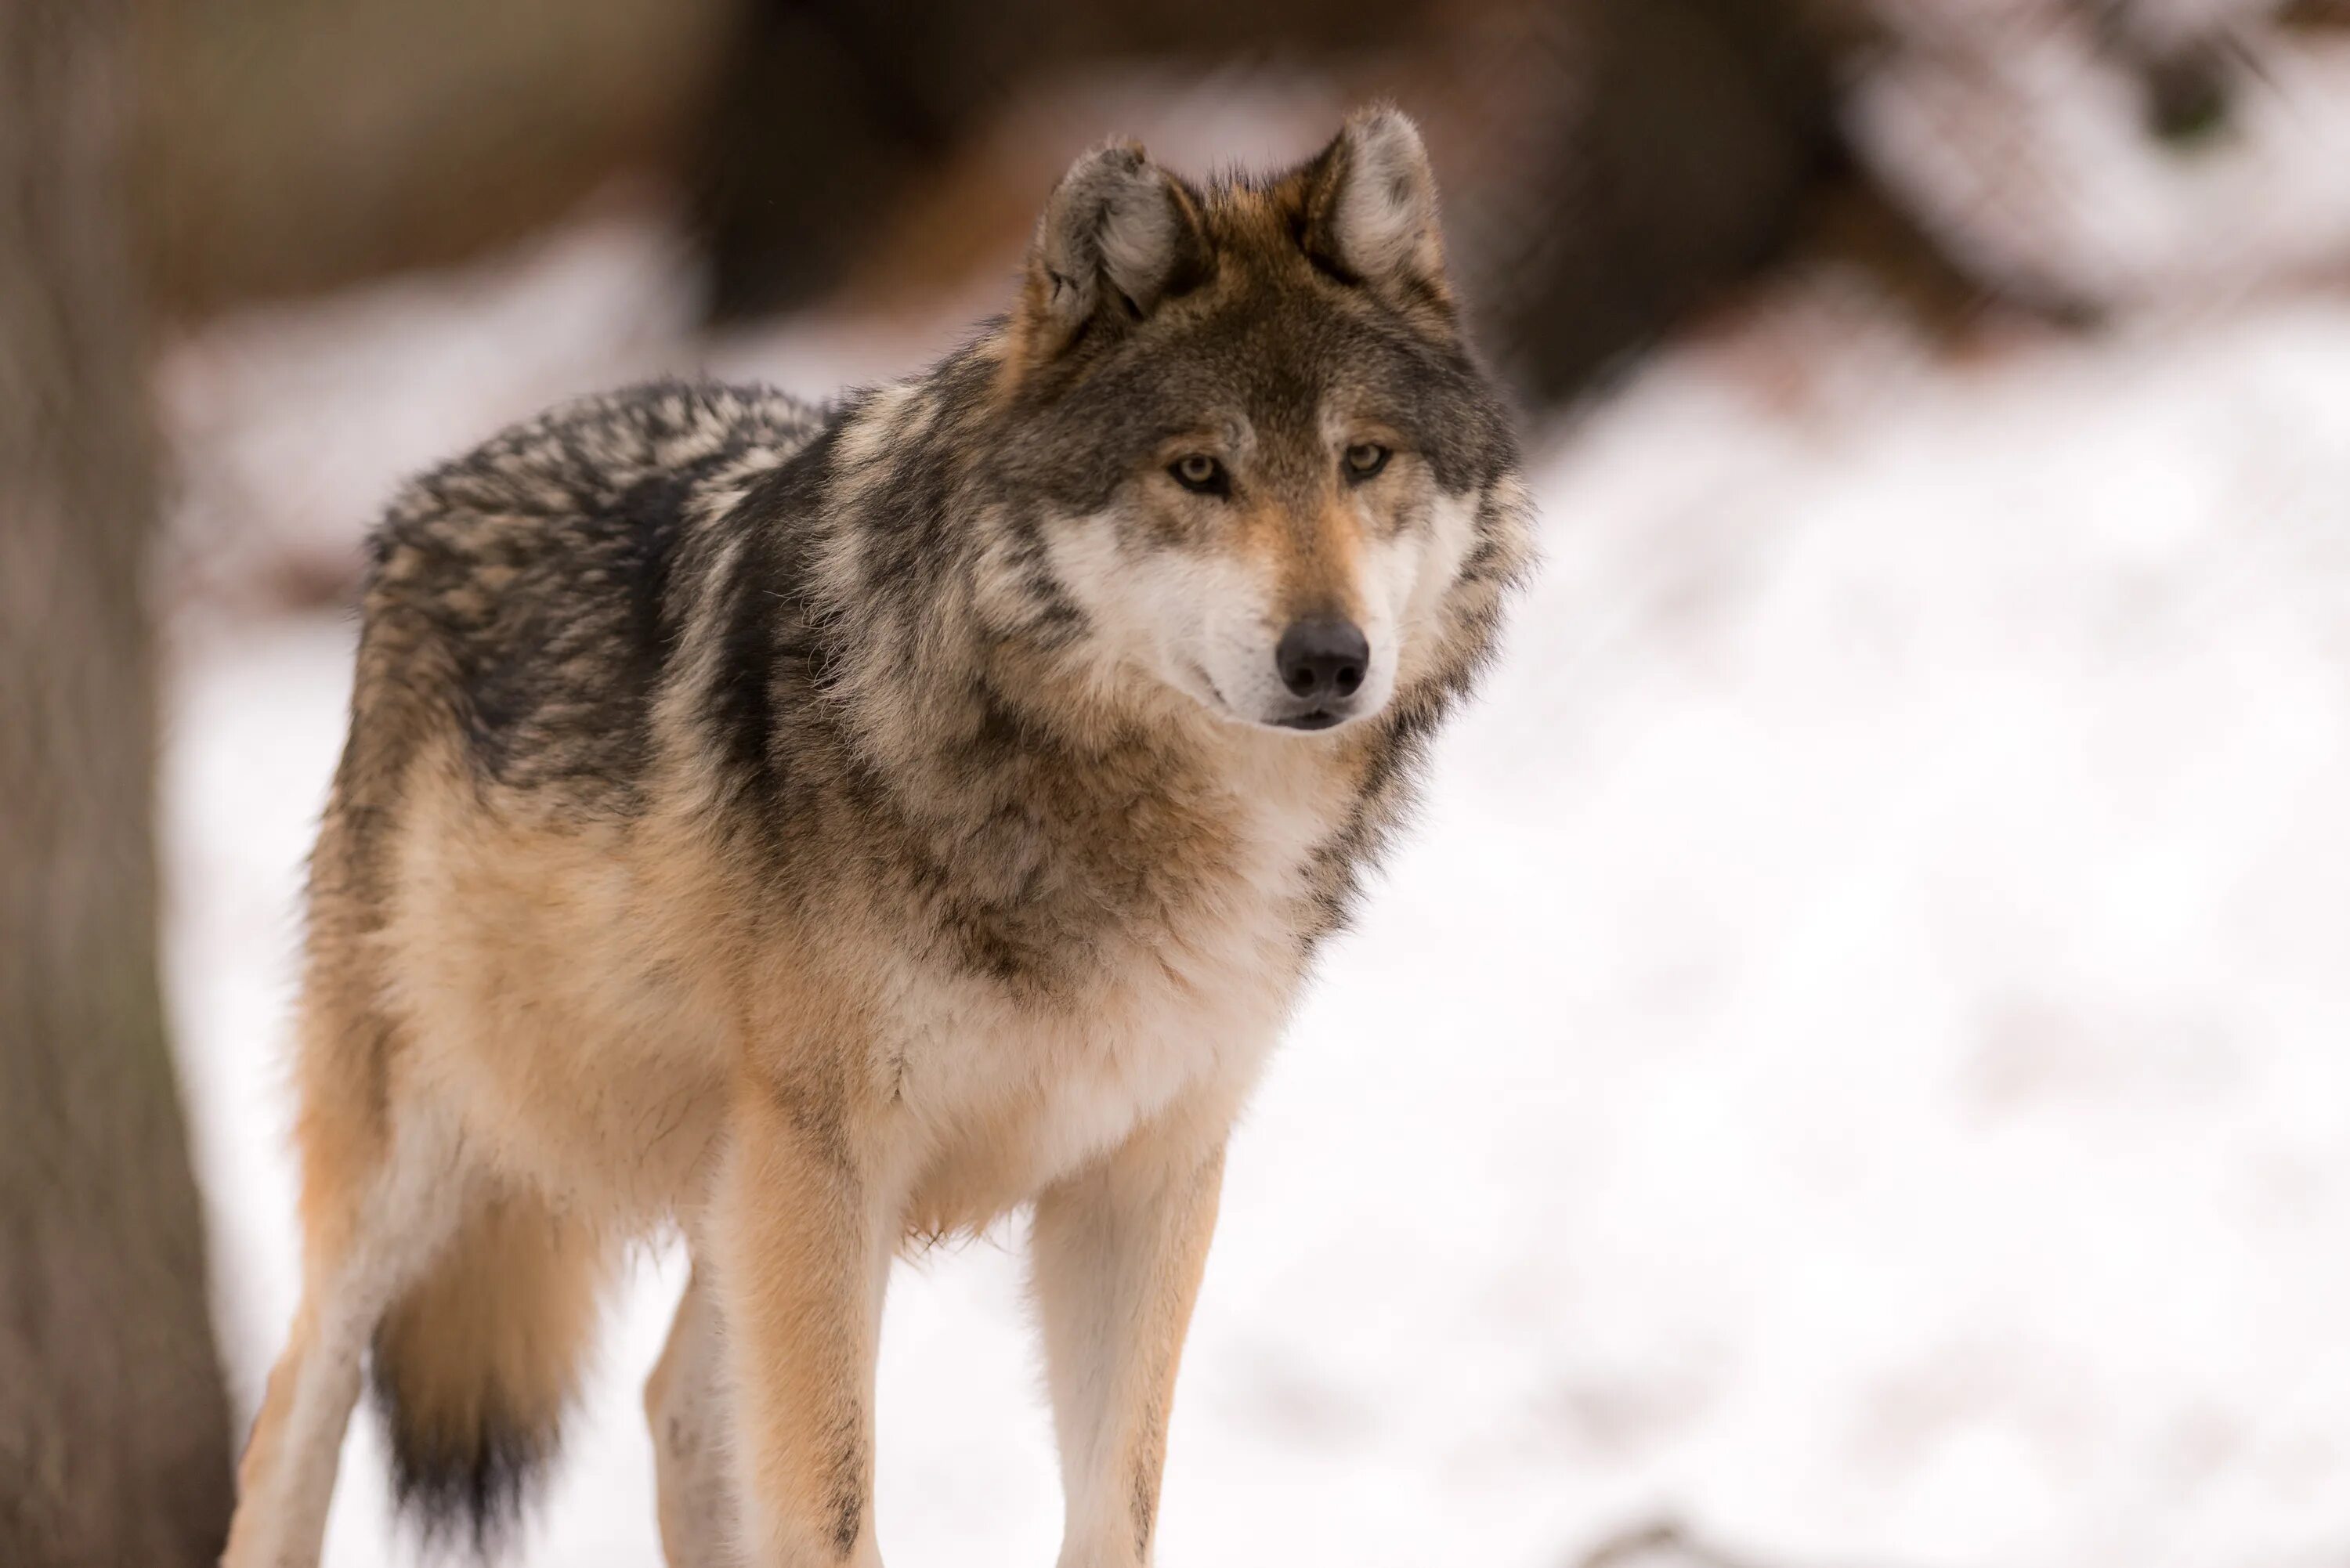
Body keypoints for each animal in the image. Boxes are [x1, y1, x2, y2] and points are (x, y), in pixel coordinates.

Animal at [221, 110, 1532, 1568]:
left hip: (715, 1191)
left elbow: (1115, 1504)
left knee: (679, 1407)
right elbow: (834, 1510)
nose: (1330, 660)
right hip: (434, 1159)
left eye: (1365, 459)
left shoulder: (1145, 1176)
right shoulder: (830, 1167)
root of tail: (433, 489)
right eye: (1200, 470)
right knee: (294, 1405)